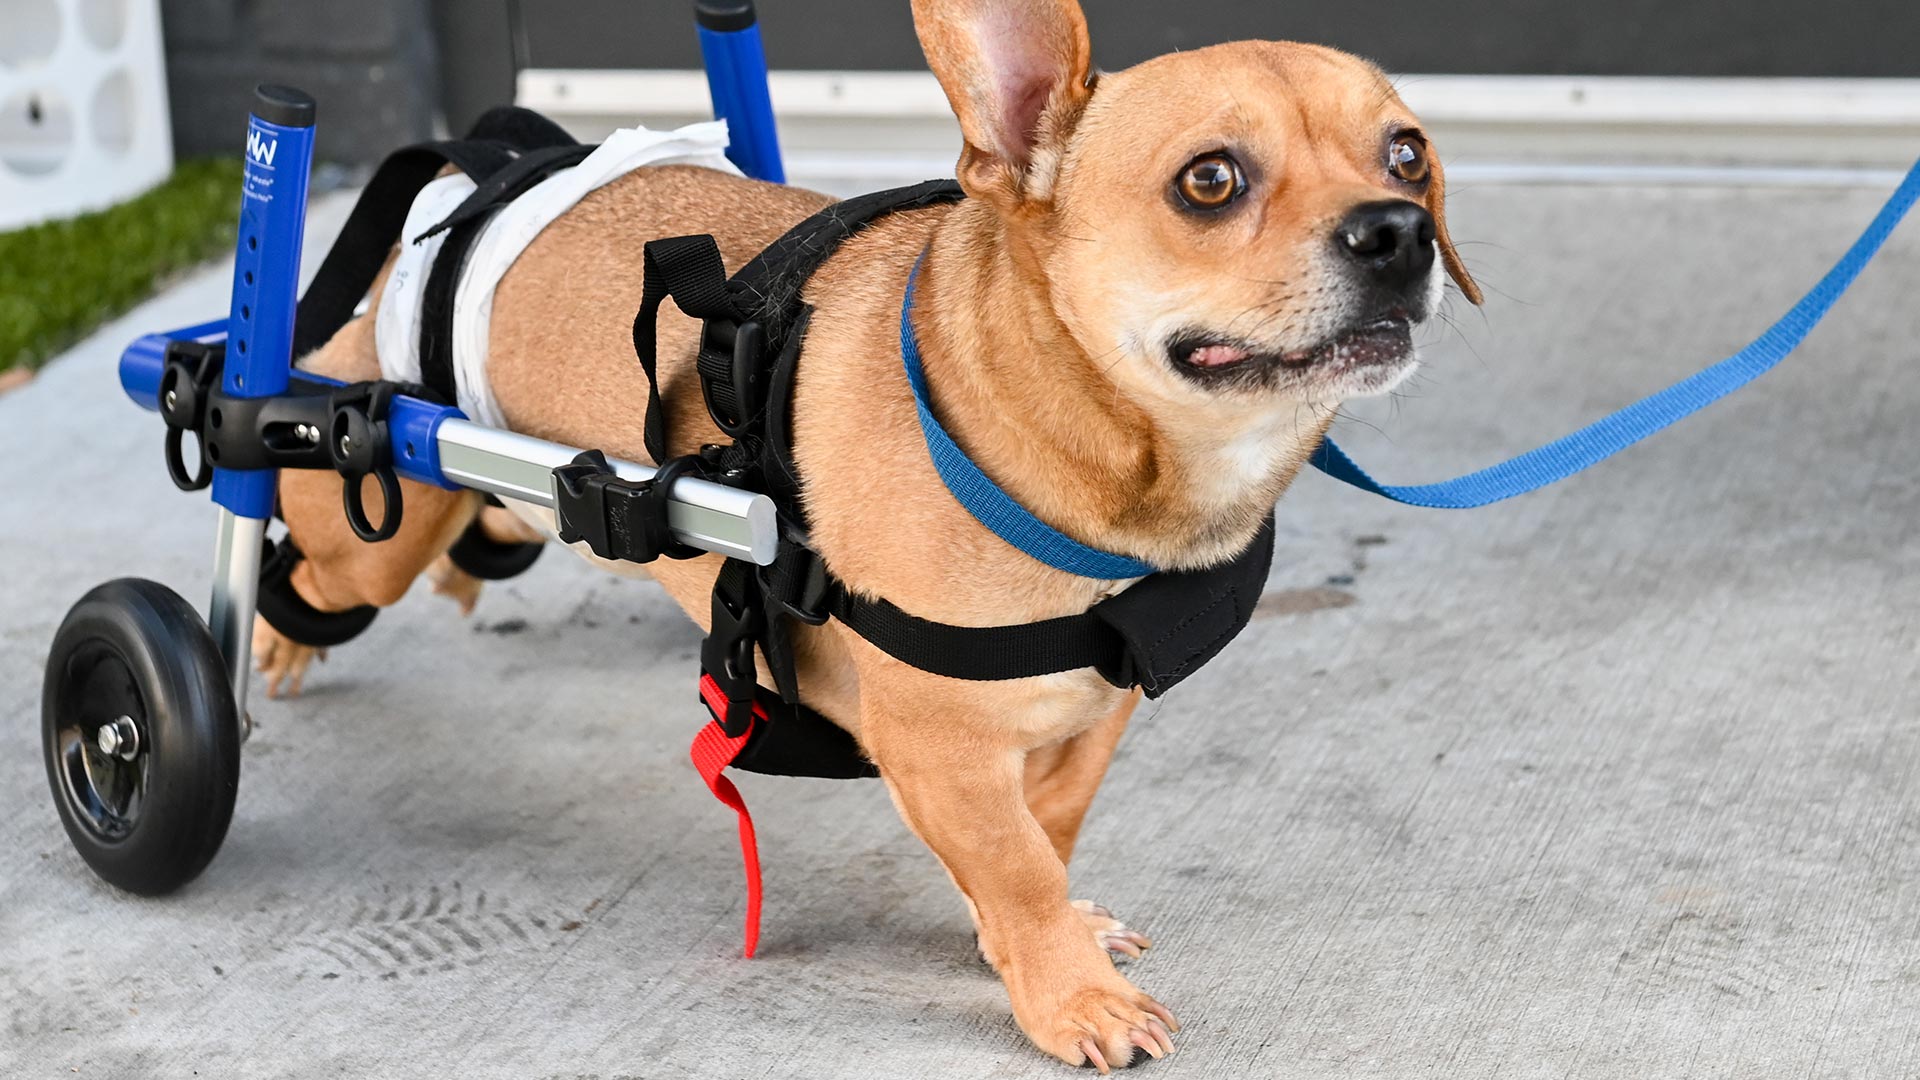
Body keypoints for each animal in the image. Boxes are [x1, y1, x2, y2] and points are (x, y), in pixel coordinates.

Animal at [255, 0, 1482, 1060]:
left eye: (1409, 155)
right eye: (1211, 180)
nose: (1400, 230)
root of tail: (496, 176)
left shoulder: (1092, 714)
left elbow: (1046, 829)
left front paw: (1033, 948)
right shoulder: (939, 749)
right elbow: (1017, 863)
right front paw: (1069, 993)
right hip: (368, 523)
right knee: (301, 533)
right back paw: (274, 624)